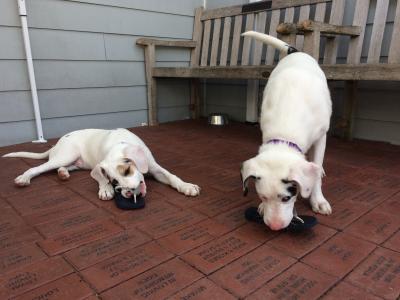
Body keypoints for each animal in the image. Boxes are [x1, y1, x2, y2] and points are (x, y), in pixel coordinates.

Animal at [3, 128, 200, 200]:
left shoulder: (154, 167)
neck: (118, 143)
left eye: (127, 170)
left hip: (76, 162)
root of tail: (56, 144)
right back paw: (24, 178)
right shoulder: (100, 165)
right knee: (38, 168)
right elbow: (100, 178)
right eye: (114, 182)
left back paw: (63, 174)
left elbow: (172, 176)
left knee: (62, 167)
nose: (129, 193)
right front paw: (105, 189)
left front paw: (187, 186)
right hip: (66, 155)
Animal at [241, 31, 332, 231]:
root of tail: (296, 52)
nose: (274, 227)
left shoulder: (321, 137)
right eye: (263, 196)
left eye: (286, 198)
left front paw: (318, 199)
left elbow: (317, 168)